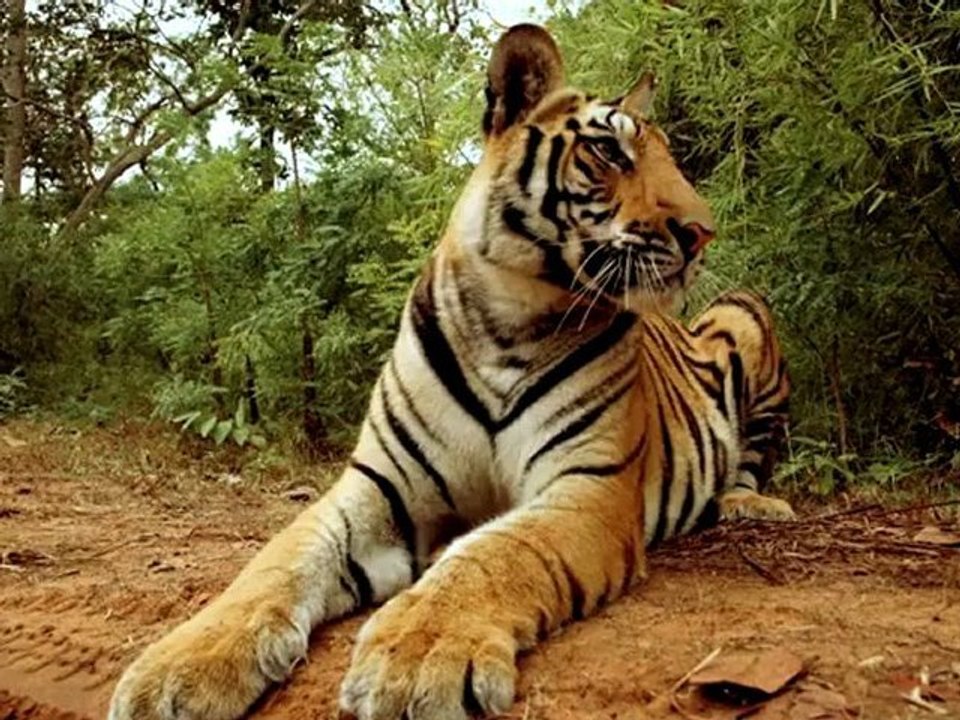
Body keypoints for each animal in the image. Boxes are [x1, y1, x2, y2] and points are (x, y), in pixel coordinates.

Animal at [109, 24, 794, 720]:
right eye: (608, 152)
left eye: (669, 159)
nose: (702, 232)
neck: (507, 318)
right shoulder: (377, 486)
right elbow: (277, 563)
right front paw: (179, 666)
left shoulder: (587, 485)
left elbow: (496, 554)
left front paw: (417, 660)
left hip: (743, 312)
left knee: (749, 459)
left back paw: (750, 505)